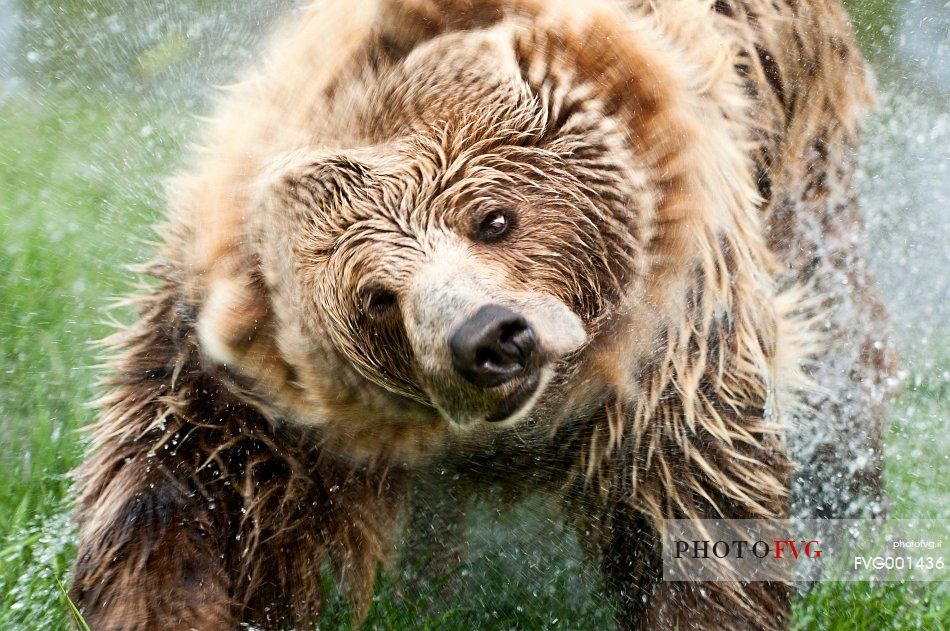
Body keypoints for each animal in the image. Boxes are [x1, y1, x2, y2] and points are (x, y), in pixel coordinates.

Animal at [70, 0, 896, 628]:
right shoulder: (254, 374)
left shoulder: (671, 351)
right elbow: (185, 471)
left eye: (494, 219)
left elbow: (698, 500)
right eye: (376, 297)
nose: (493, 338)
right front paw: (167, 600)